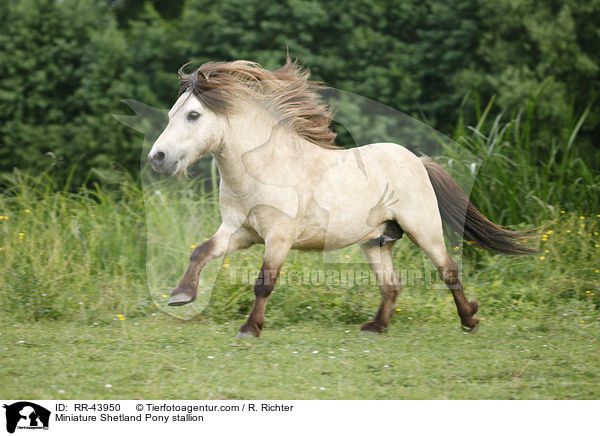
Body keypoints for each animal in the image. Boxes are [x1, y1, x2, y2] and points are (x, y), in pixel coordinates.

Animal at [148, 57, 532, 338]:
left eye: (193, 115)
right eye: (171, 114)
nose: (158, 158)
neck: (265, 168)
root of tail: (417, 161)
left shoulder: (278, 237)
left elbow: (264, 282)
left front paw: (249, 328)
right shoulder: (239, 232)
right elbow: (201, 251)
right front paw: (181, 295)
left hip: (424, 228)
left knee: (448, 270)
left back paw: (470, 320)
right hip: (376, 241)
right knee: (391, 285)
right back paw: (375, 327)